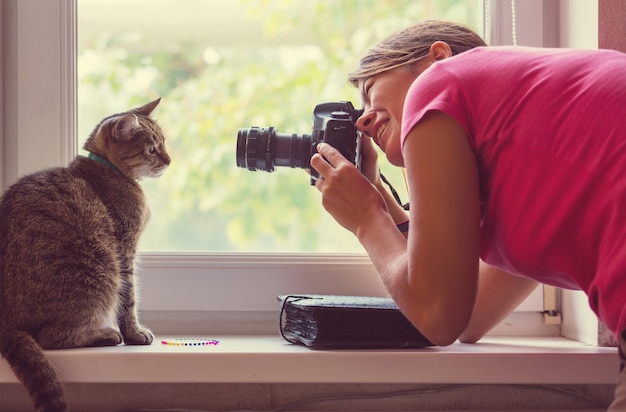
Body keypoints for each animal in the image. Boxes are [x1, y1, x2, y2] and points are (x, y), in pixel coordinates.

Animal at [0, 98, 171, 410]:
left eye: (164, 144)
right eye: (152, 149)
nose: (169, 160)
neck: (107, 169)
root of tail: (6, 323)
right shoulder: (124, 253)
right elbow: (128, 301)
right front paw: (134, 333)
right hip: (98, 269)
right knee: (50, 338)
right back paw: (105, 335)